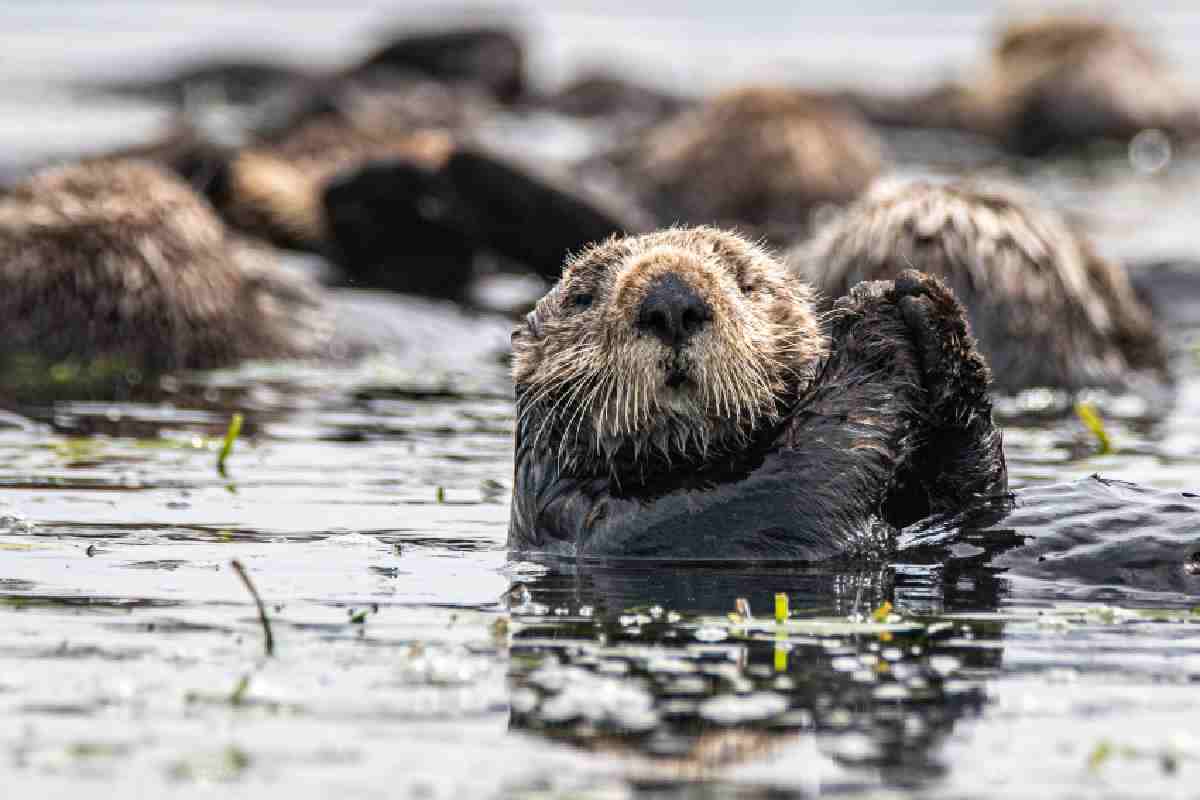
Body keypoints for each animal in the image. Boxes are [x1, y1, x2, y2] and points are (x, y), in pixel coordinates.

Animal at [511, 227, 1008, 561]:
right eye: (583, 298)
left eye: (745, 282)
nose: (671, 301)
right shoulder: (617, 526)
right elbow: (791, 486)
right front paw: (869, 317)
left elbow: (975, 503)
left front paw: (930, 306)